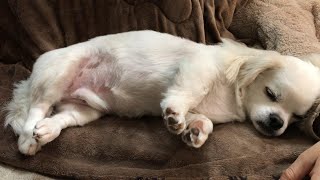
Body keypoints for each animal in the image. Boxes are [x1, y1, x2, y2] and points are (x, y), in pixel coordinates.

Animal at [4, 30, 320, 155]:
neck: (232, 96)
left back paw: (46, 132)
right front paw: (174, 113)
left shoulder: (202, 109)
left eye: (297, 116)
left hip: (85, 111)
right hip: (57, 74)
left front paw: (195, 133)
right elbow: (188, 91)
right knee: (36, 110)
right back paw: (28, 140)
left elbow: (203, 120)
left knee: (58, 118)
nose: (277, 123)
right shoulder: (197, 68)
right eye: (271, 93)